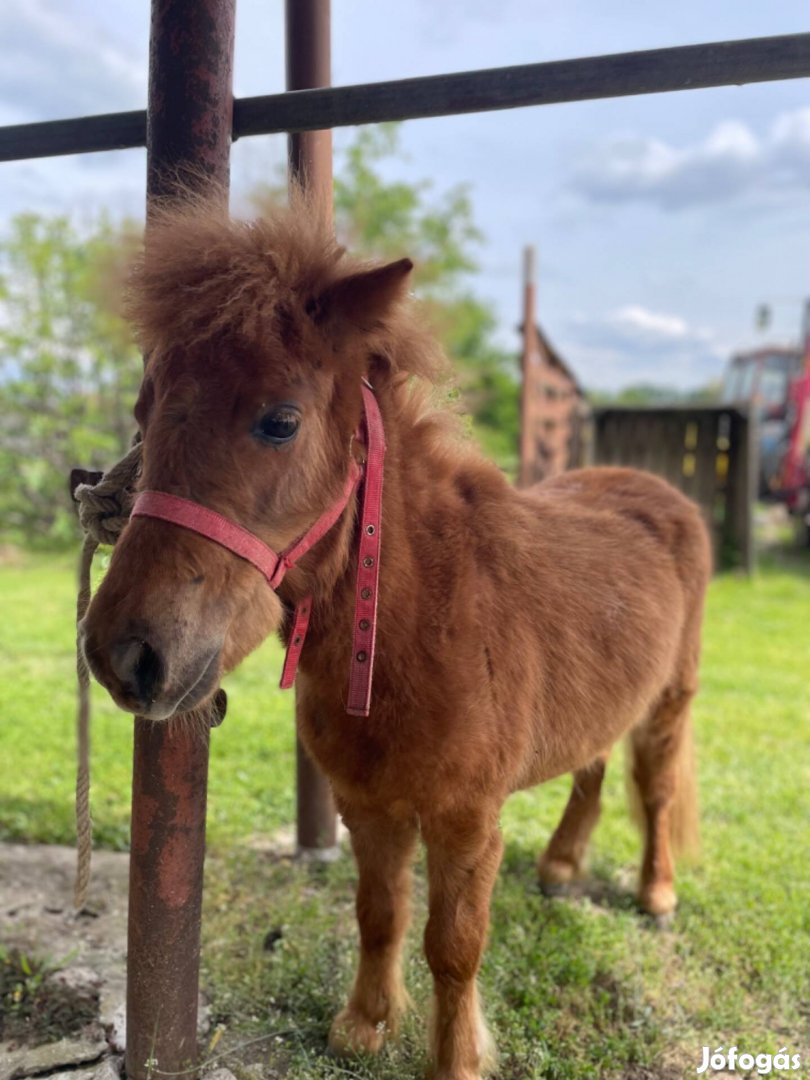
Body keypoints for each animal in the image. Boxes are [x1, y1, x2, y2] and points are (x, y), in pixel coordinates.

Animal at [82, 198, 712, 1075]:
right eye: (145, 418)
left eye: (280, 421)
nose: (123, 654)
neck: (419, 630)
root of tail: (656, 491)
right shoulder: (368, 805)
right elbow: (378, 913)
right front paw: (365, 1024)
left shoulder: (465, 820)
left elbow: (454, 947)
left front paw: (455, 1057)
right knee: (589, 767)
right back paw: (559, 866)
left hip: (669, 704)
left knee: (653, 789)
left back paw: (655, 892)